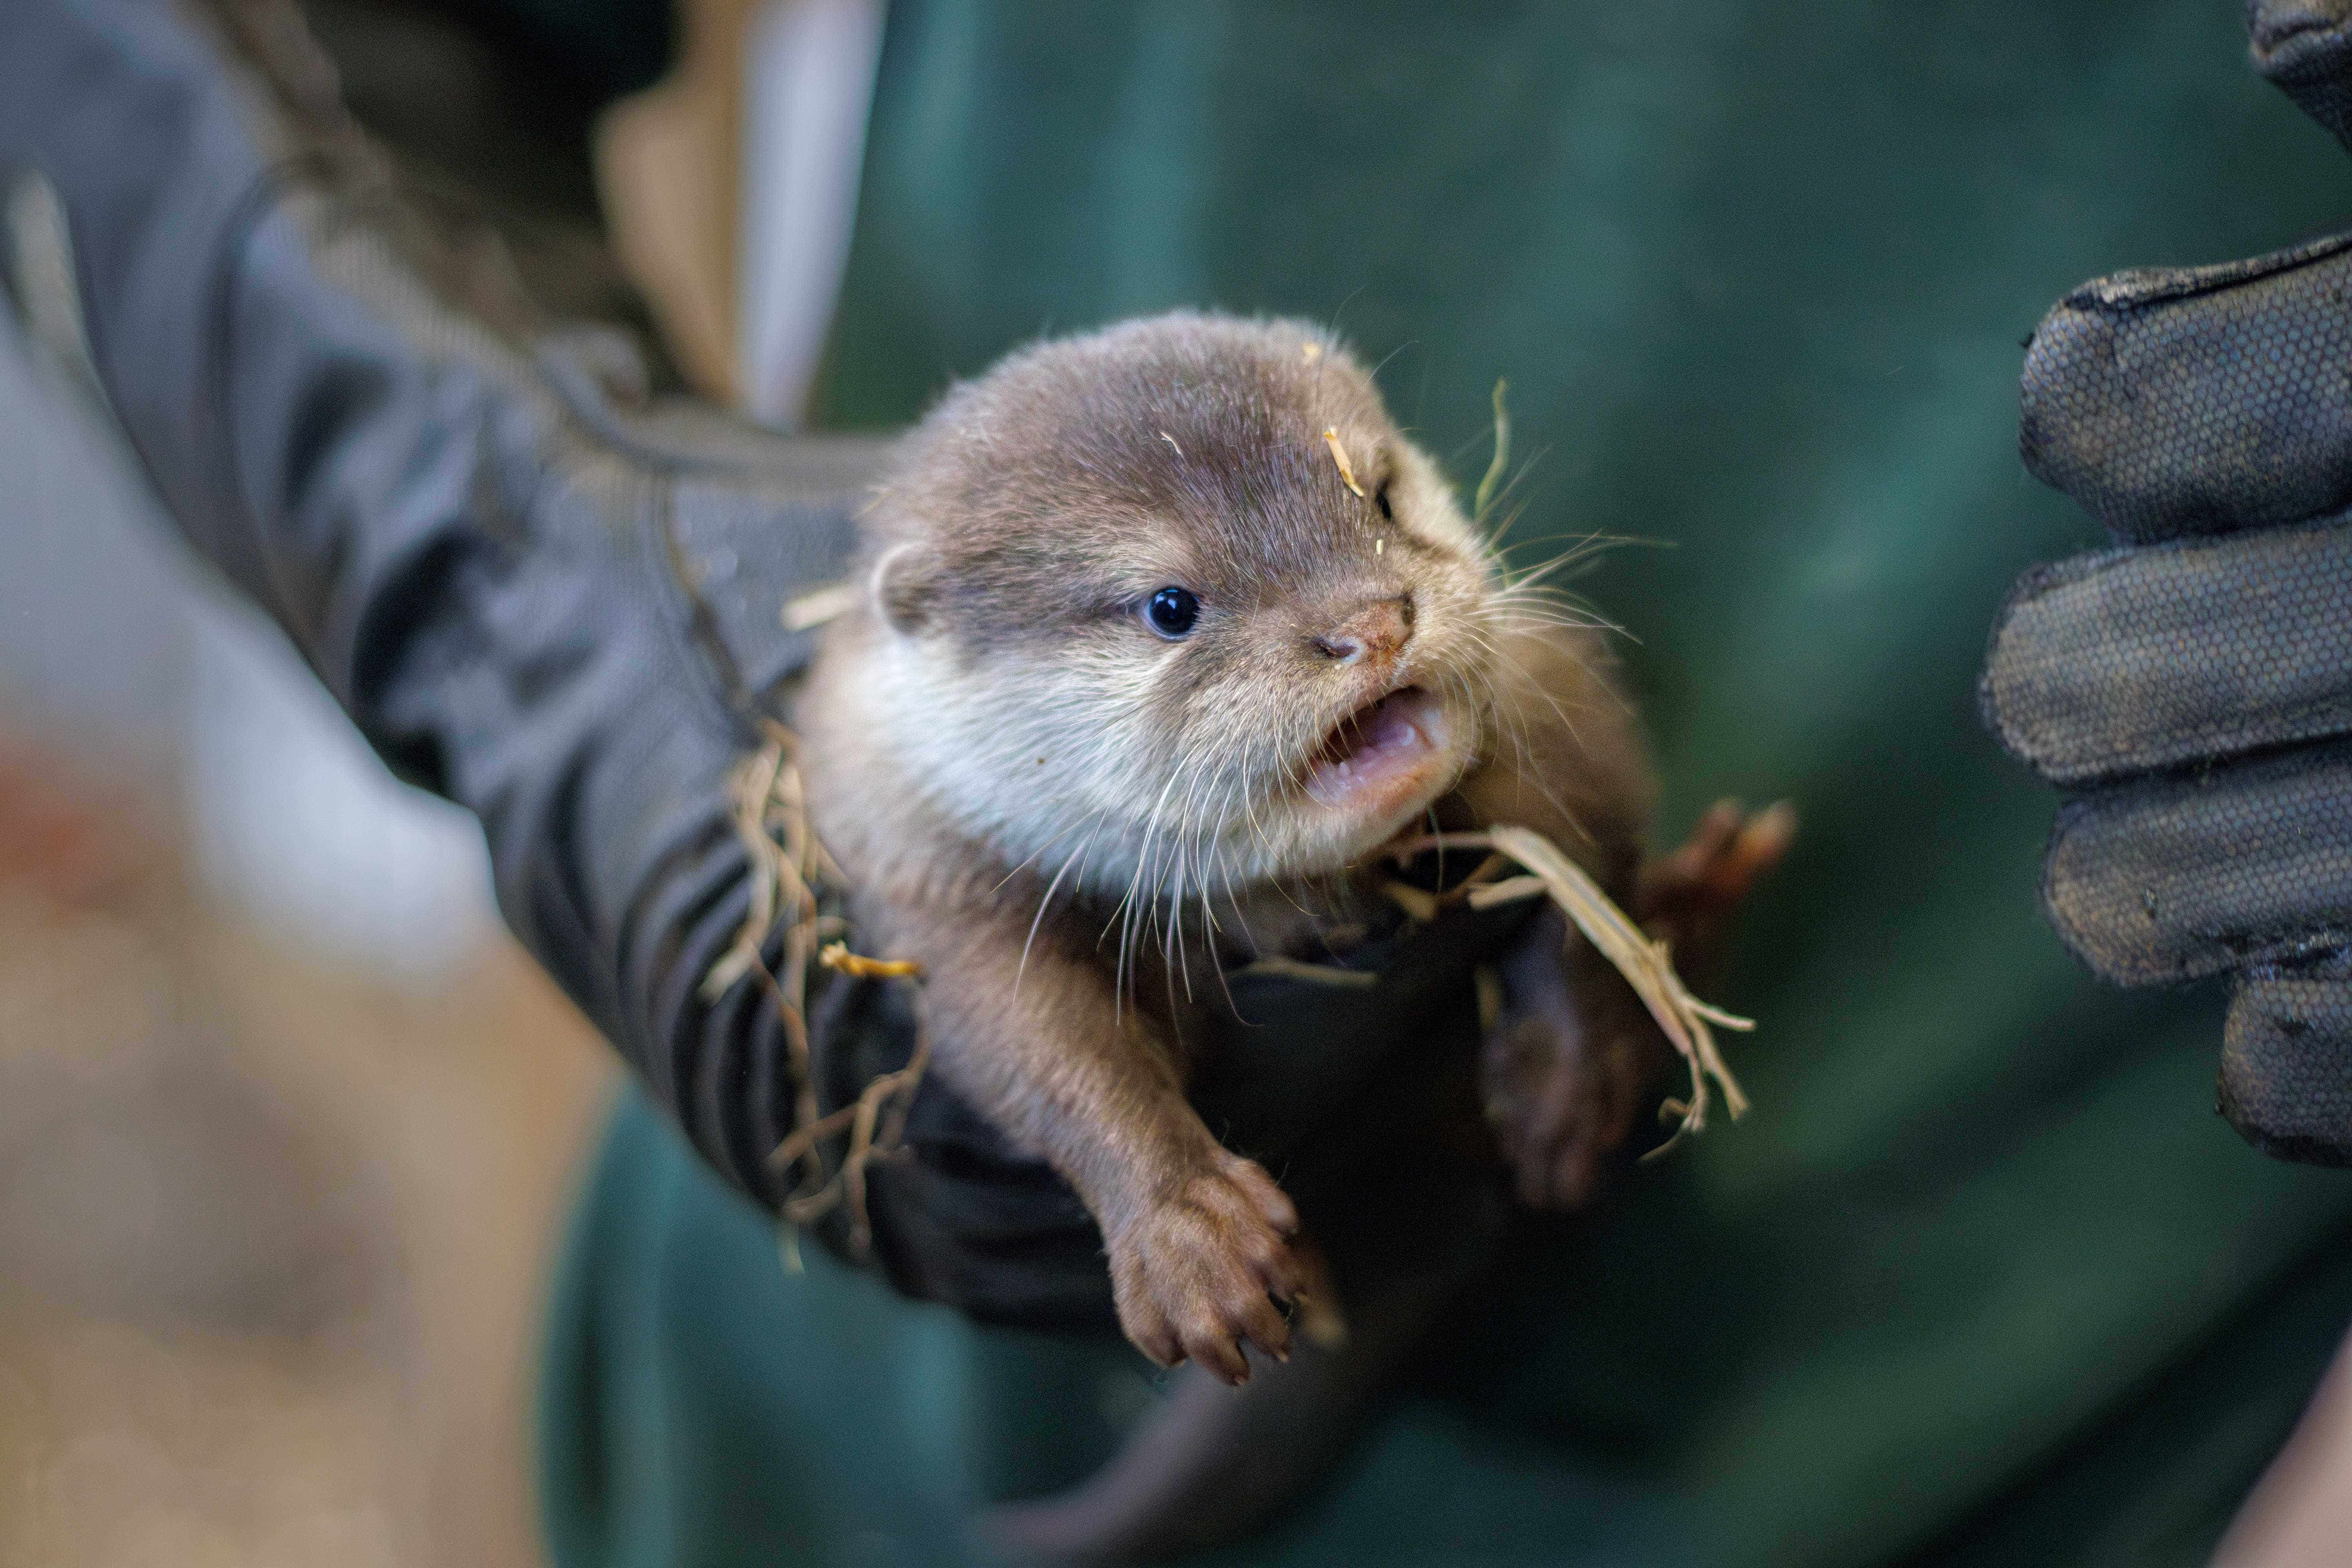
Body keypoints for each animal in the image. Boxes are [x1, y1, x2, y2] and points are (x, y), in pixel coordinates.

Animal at [800, 312, 1769, 1392]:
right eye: (1169, 606)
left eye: (1379, 494)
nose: (1372, 622)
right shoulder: (927, 872)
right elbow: (1039, 1042)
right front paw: (1187, 1232)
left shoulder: (1556, 712)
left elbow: (1580, 887)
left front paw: (1569, 1075)